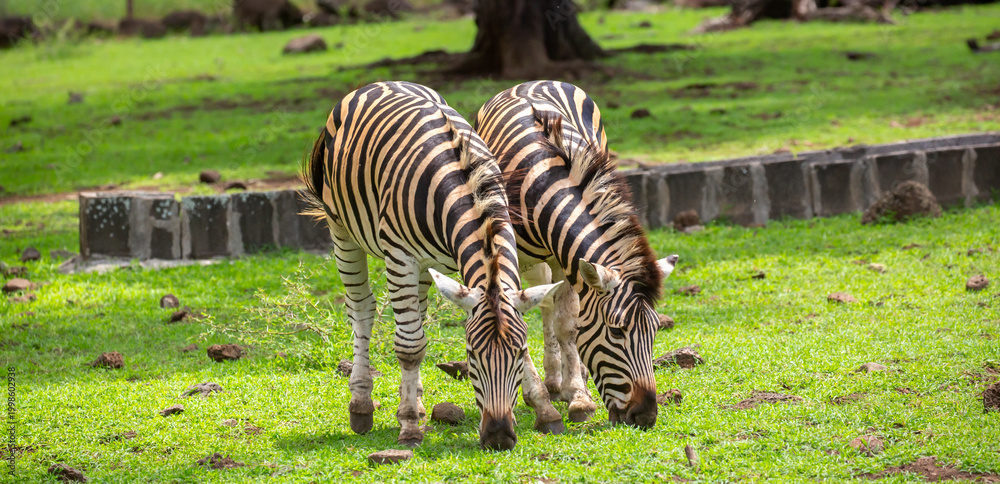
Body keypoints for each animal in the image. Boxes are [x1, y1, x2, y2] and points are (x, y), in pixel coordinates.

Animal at [300, 81, 561, 450]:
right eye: (470, 354)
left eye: (521, 351)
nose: (498, 437)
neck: (465, 185)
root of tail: (378, 84)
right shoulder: (401, 256)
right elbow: (409, 348)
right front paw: (409, 426)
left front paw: (544, 408)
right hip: (343, 231)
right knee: (363, 309)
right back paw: (362, 404)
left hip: (424, 266)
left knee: (416, 320)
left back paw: (417, 401)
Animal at [475, 80, 678, 429]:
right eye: (616, 331)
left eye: (654, 331)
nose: (645, 416)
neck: (543, 180)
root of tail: (527, 82)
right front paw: (549, 397)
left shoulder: (564, 258)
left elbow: (568, 324)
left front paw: (579, 395)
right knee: (544, 303)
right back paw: (552, 382)